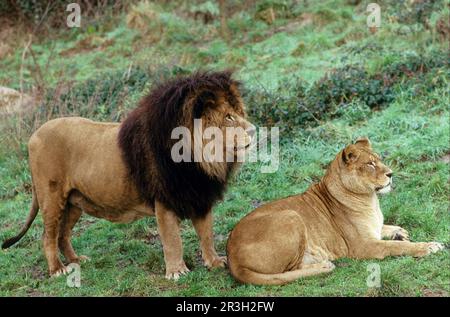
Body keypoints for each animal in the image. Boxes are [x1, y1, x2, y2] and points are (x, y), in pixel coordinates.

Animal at [0, 70, 253, 278]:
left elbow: (206, 233)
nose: (253, 129)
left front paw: (215, 262)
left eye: (239, 112)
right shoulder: (164, 201)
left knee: (63, 235)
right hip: (52, 198)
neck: (203, 161)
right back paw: (58, 270)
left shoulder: (198, 195)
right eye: (229, 117)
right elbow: (172, 240)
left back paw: (77, 260)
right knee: (49, 236)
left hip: (74, 202)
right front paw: (177, 272)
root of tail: (34, 135)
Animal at [227, 137, 444, 286]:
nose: (391, 174)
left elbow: (385, 227)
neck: (370, 200)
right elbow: (397, 247)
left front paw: (399, 232)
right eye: (370, 164)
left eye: (379, 160)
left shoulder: (373, 229)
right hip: (290, 216)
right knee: (288, 271)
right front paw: (429, 246)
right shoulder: (363, 247)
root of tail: (232, 257)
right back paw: (324, 265)